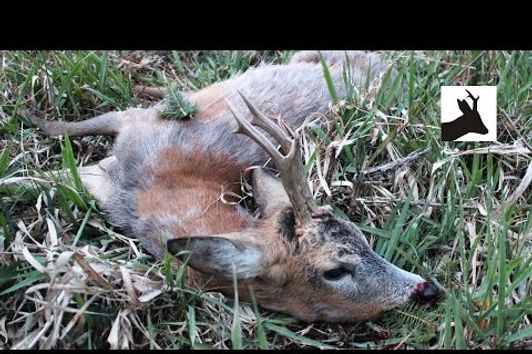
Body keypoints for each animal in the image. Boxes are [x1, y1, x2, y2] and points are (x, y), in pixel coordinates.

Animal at [28, 51, 436, 322]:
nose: (427, 288)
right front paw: (32, 116)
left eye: (364, 238)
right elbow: (62, 136)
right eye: (335, 270)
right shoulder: (134, 127)